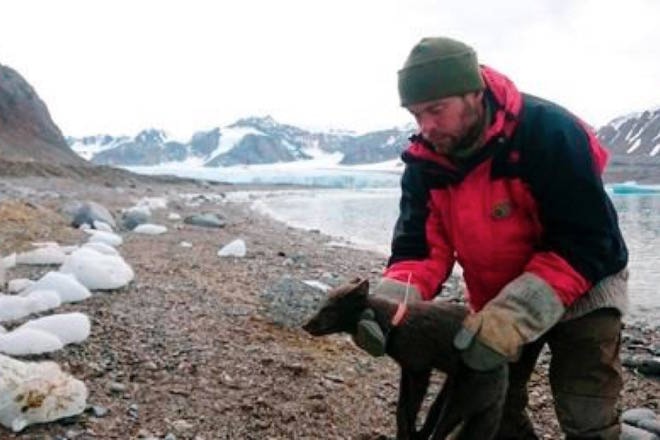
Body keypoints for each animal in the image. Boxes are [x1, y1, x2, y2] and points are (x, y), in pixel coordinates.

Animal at [302, 278, 508, 440]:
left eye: (328, 310)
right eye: (321, 306)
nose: (304, 325)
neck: (395, 323)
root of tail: (504, 377)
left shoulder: (420, 371)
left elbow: (411, 409)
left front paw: (408, 430)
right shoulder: (406, 371)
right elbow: (402, 410)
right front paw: (404, 432)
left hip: (458, 401)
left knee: (441, 431)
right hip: (449, 391)